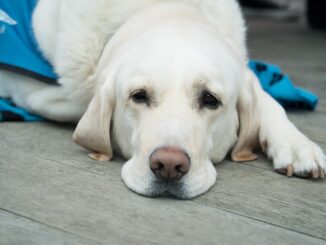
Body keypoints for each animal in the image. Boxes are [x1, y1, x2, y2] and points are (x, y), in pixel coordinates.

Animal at [0, 0, 324, 199]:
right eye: (139, 96)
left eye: (210, 99)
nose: (168, 165)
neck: (163, 7)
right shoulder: (40, 92)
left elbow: (267, 100)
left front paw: (297, 145)